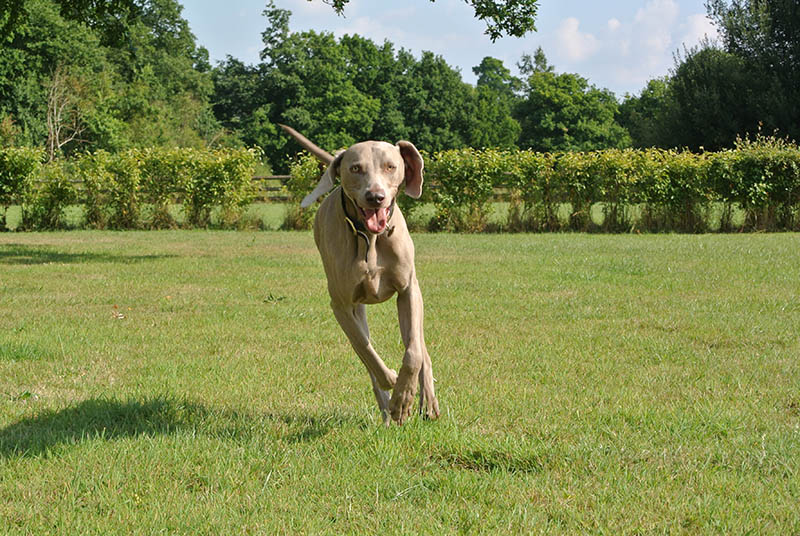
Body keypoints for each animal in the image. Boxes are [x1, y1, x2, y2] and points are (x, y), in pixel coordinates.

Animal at [282, 123, 440, 426]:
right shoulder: (341, 304)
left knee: (420, 347)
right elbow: (365, 350)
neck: (370, 239)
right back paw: (388, 407)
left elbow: (413, 354)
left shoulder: (408, 291)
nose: (375, 197)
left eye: (391, 166)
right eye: (355, 168)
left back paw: (426, 401)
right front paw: (393, 387)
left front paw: (405, 396)